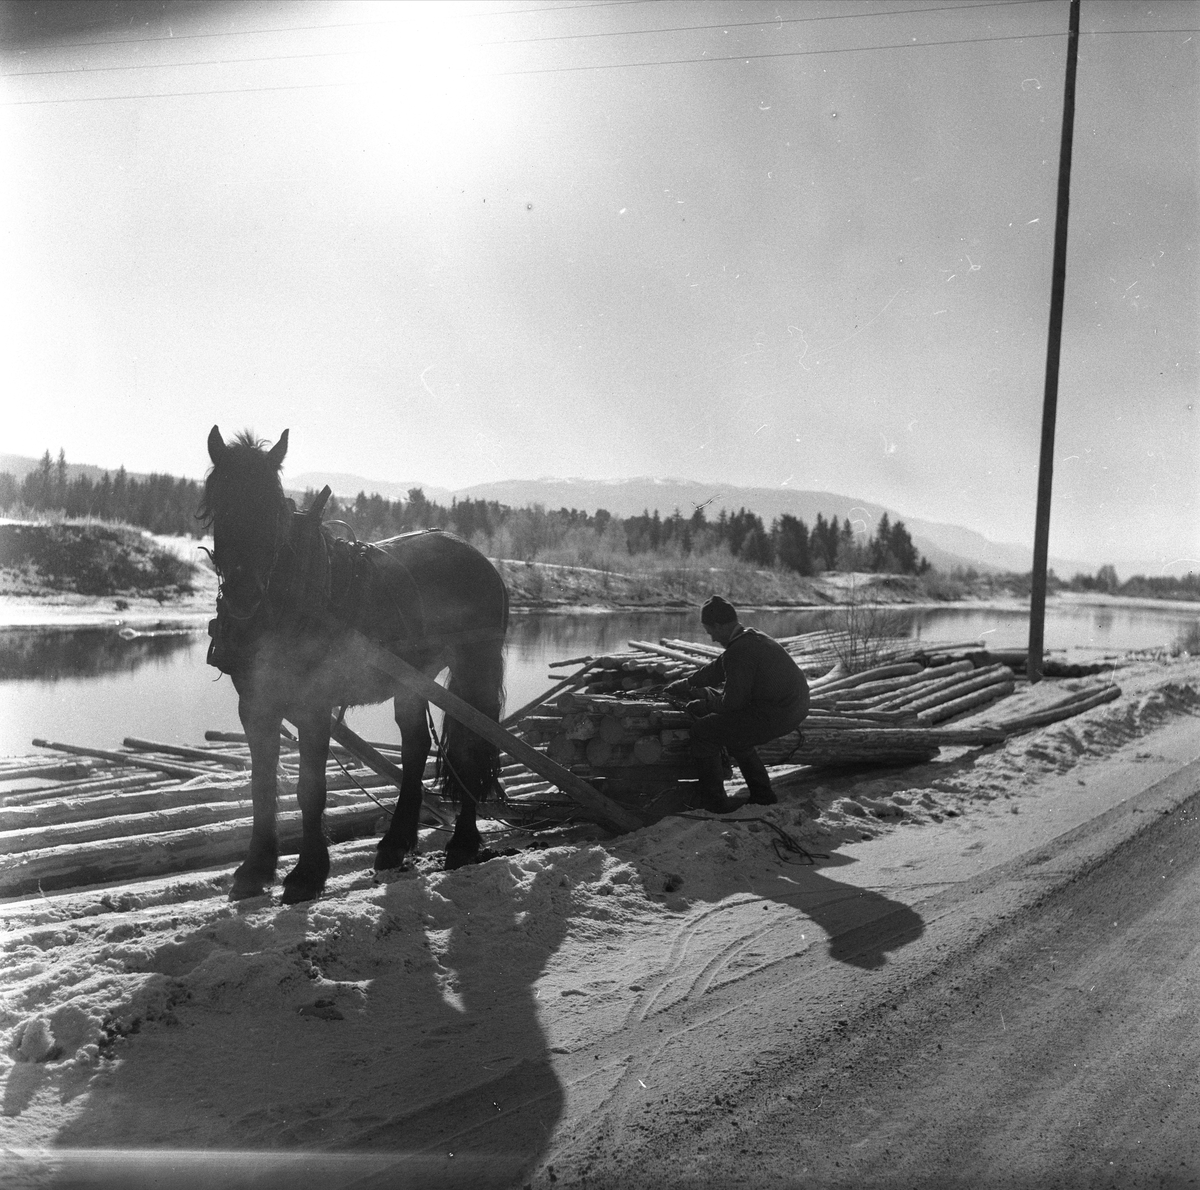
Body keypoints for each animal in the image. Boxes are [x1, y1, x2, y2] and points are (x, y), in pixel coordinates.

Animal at [199, 427, 508, 902]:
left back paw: (462, 843)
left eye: (273, 509)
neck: (290, 600)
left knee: (471, 748)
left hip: (476, 669)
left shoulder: (313, 706)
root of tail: (479, 558)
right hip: (414, 680)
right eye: (221, 506)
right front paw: (255, 869)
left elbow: (310, 788)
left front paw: (307, 874)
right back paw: (396, 843)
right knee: (416, 747)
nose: (244, 594)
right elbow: (262, 785)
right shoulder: (255, 705)